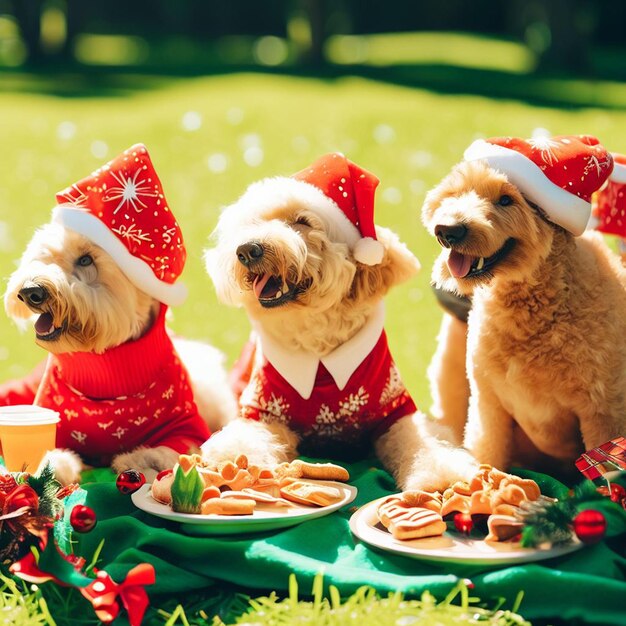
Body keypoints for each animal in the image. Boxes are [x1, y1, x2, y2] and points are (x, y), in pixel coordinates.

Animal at [1, 145, 235, 482]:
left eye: (86, 259)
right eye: (43, 256)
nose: (31, 292)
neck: (107, 371)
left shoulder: (189, 427)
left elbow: (170, 450)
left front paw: (136, 460)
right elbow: (50, 451)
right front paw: (53, 464)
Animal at [201, 154, 472, 490]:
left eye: (303, 222)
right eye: (252, 223)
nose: (247, 250)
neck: (318, 351)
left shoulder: (394, 410)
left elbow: (422, 443)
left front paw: (442, 475)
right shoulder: (263, 412)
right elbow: (245, 438)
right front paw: (234, 462)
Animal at [420, 134, 624, 470]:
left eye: (506, 200)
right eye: (456, 193)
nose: (447, 230)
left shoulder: (603, 412)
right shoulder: (488, 406)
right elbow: (487, 453)